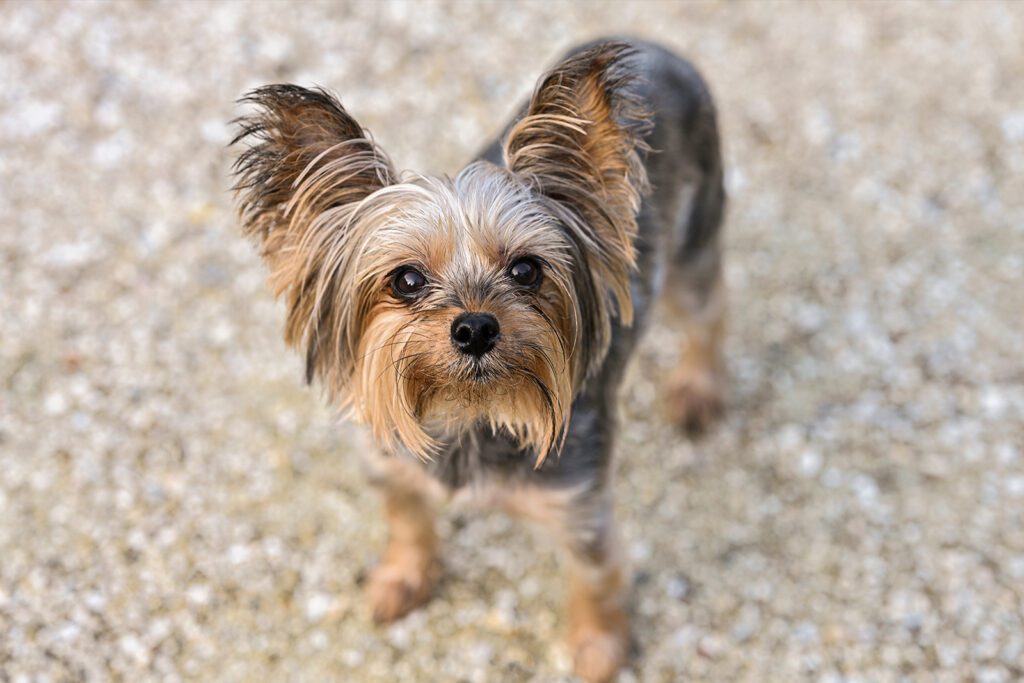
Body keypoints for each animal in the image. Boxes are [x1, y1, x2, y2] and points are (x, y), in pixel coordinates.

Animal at [232, 38, 729, 683]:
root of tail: (657, 47)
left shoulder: (578, 502)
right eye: (406, 280)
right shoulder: (389, 459)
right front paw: (402, 578)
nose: (474, 326)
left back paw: (698, 389)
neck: (469, 413)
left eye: (526, 270)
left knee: (709, 314)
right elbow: (407, 519)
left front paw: (598, 647)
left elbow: (595, 574)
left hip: (695, 242)